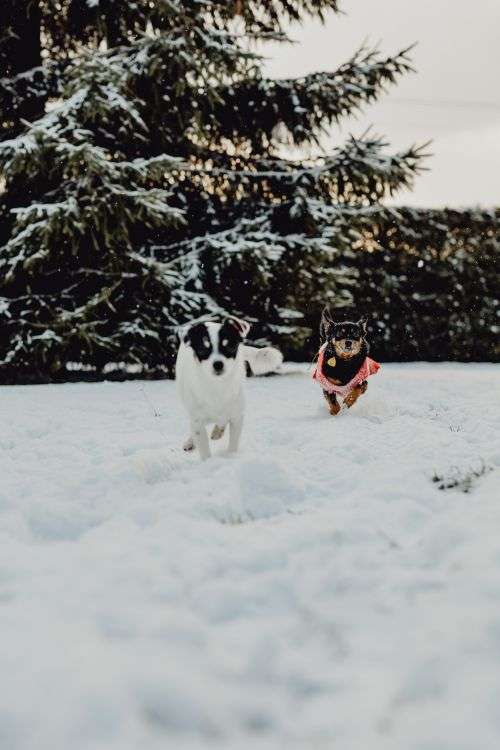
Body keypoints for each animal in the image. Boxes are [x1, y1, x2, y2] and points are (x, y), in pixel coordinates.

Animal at [177, 316, 284, 458]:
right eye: (203, 349)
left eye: (228, 346)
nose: (218, 364)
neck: (218, 385)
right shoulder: (197, 419)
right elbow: (203, 446)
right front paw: (207, 461)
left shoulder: (236, 416)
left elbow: (233, 442)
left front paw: (231, 456)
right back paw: (192, 441)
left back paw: (217, 431)